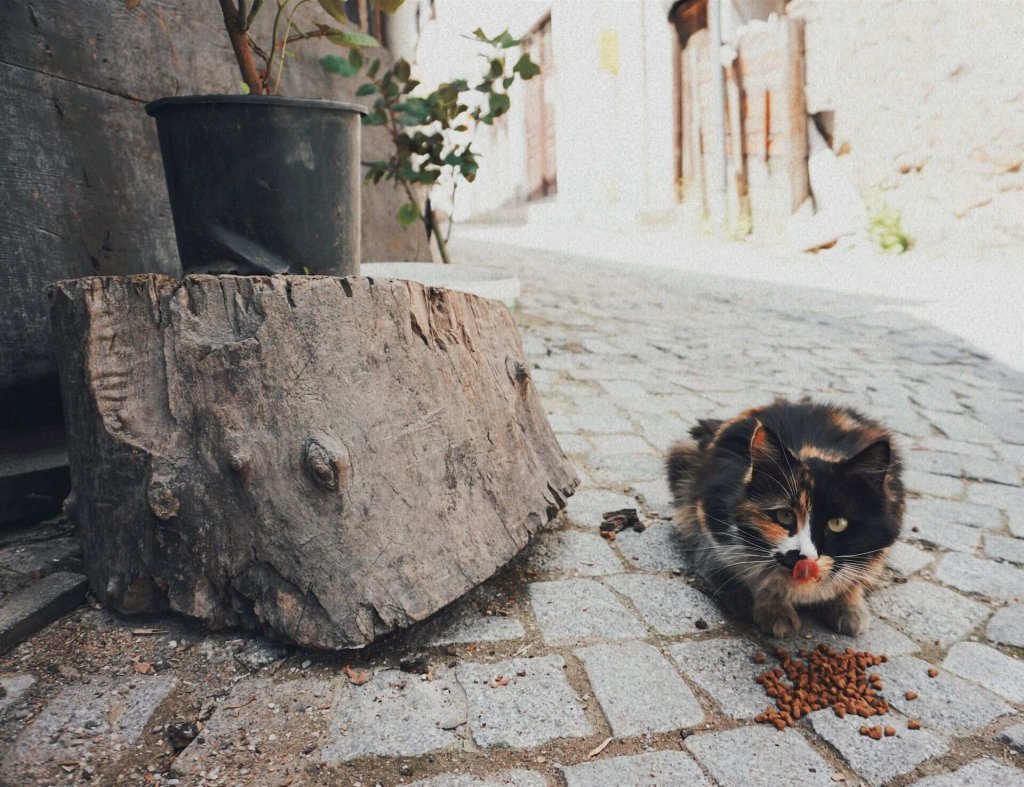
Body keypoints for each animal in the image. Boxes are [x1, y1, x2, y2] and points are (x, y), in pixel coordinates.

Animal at [667, 399, 901, 638]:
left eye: (837, 523)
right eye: (785, 516)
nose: (805, 558)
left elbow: (856, 577)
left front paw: (850, 611)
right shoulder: (714, 528)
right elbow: (756, 575)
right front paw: (776, 613)